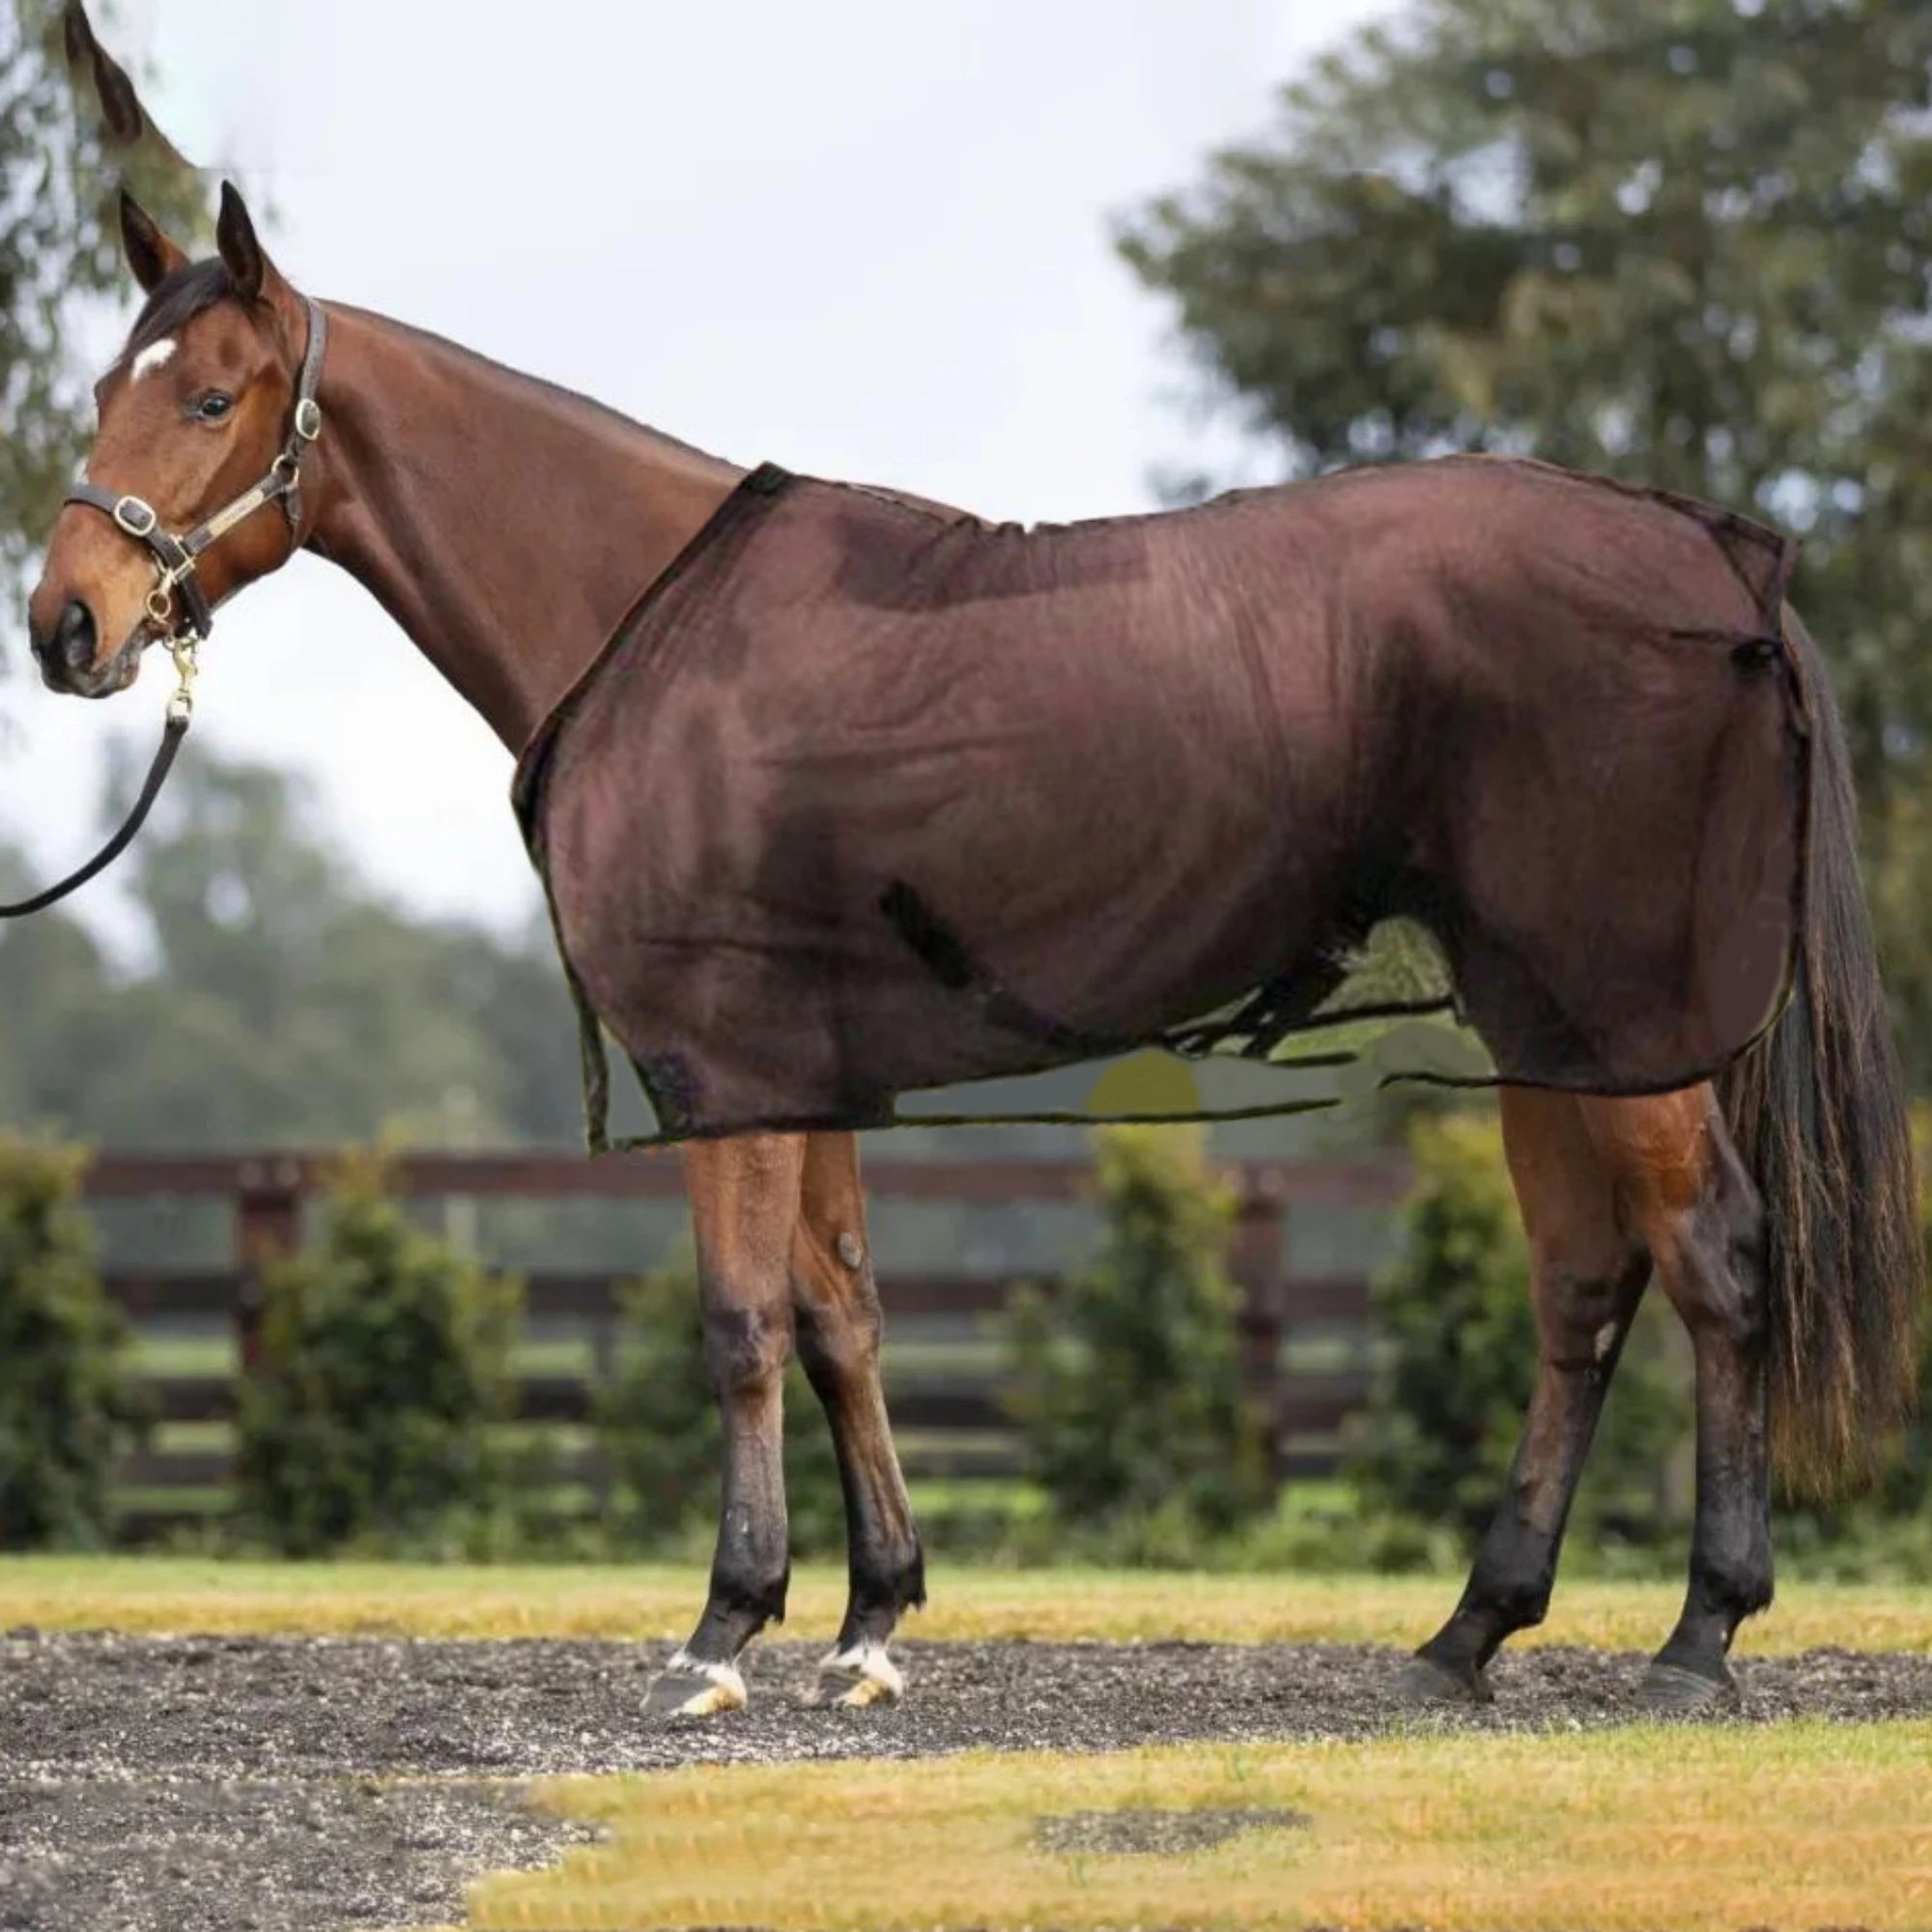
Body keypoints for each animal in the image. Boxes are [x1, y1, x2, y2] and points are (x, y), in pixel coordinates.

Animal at [24, 170, 1921, 1723]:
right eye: (107, 386)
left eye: (210, 395)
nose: (66, 625)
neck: (647, 619)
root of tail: (1722, 556)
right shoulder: (810, 1071)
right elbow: (844, 1312)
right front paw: (872, 1622)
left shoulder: (725, 1062)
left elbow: (741, 1324)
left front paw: (726, 1628)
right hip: (1552, 1027)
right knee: (1586, 1286)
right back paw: (1470, 1630)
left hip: (1626, 1017)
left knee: (1715, 1262)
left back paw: (1697, 1638)